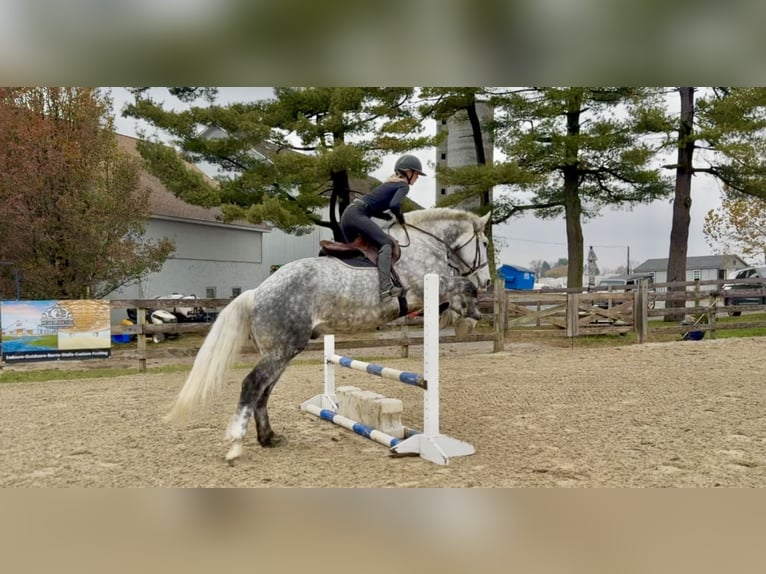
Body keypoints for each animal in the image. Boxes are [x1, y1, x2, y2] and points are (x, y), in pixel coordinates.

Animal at [165, 207, 492, 463]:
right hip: (281, 351)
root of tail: (257, 293)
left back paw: (269, 438)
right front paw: (469, 314)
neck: (426, 242)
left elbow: (456, 294)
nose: (488, 281)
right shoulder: (424, 287)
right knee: (252, 385)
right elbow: (461, 285)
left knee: (264, 390)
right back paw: (235, 445)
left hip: (281, 351)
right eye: (485, 242)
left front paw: (464, 316)